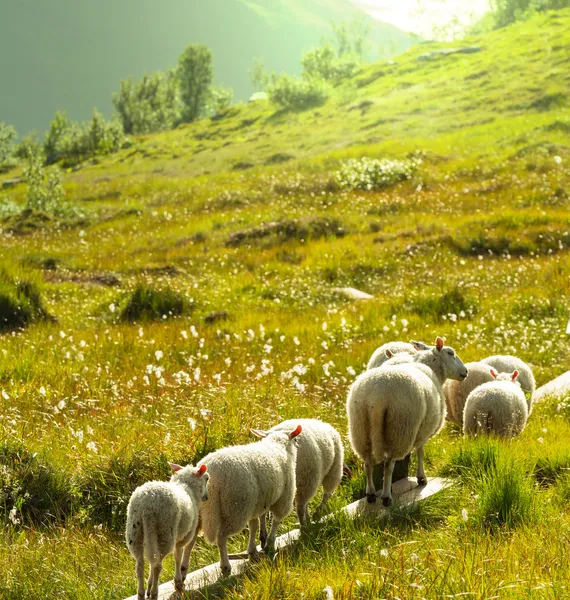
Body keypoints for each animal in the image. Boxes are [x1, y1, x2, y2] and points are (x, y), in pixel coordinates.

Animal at [125, 462, 210, 596]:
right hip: (165, 532)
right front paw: (178, 581)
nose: (206, 497)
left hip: (135, 532)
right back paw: (154, 593)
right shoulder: (183, 537)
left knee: (140, 565)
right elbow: (177, 556)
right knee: (157, 565)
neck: (187, 487)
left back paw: (141, 593)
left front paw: (149, 584)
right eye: (207, 478)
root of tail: (147, 506)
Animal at [197, 424, 302, 576]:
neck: (278, 444)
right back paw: (225, 566)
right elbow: (276, 521)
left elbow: (254, 526)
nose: (298, 445)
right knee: (221, 537)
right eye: (295, 439)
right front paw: (270, 543)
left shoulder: (256, 504)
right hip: (236, 508)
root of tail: (214, 477)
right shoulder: (284, 498)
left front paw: (253, 550)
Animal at [344, 338, 464, 506]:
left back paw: (371, 493)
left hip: (360, 429)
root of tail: (376, 397)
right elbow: (420, 452)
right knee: (388, 465)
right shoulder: (423, 430)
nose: (466, 372)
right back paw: (386, 496)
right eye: (451, 353)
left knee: (367, 463)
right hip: (400, 428)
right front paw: (421, 477)